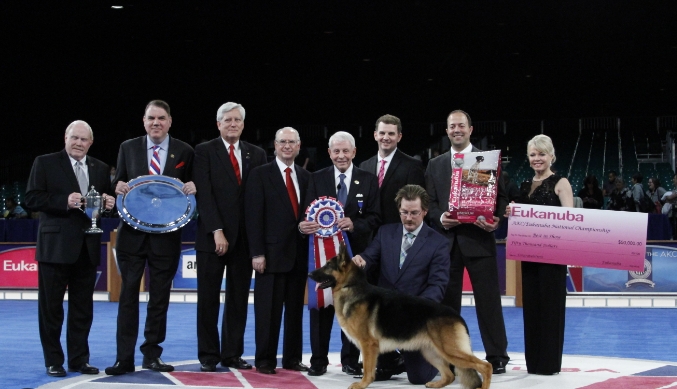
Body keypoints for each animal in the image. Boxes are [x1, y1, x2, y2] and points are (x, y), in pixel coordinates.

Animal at [308, 242, 492, 388]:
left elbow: (367, 369)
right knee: (450, 375)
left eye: (327, 265)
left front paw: (362, 384)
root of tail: (457, 315)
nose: (309, 274)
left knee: (485, 366)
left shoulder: (368, 345)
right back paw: (435, 384)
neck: (350, 286)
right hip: (431, 352)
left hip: (450, 350)